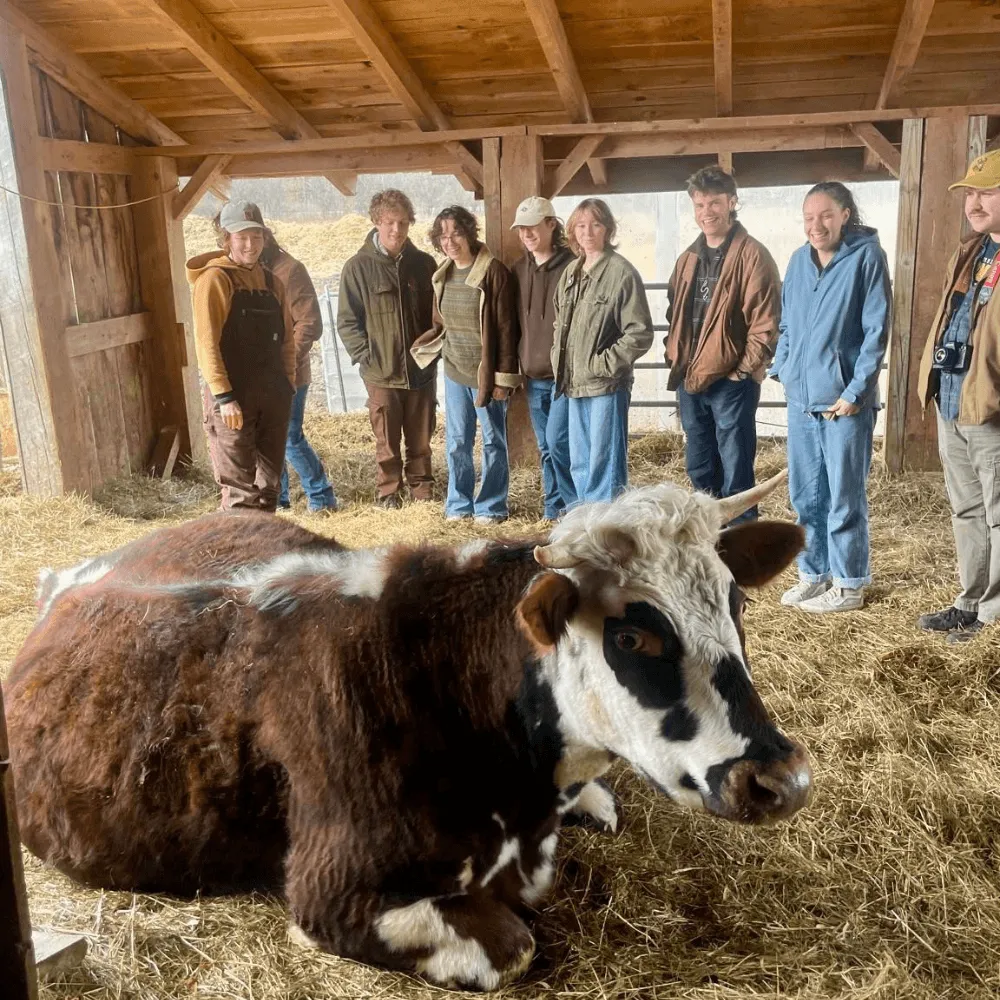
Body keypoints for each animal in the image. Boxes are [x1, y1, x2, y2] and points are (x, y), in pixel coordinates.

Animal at [5, 473, 810, 991]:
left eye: (735, 602)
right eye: (633, 636)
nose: (781, 777)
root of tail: (71, 578)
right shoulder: (335, 892)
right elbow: (513, 946)